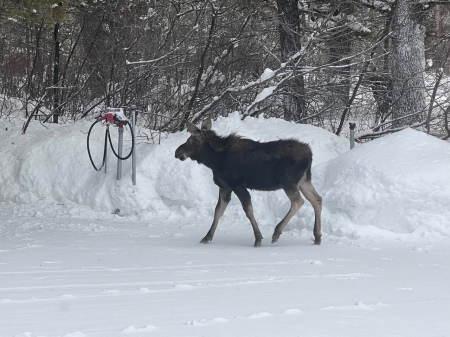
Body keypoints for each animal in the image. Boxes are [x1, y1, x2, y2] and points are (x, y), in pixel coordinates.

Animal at [174, 118, 322, 247]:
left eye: (189, 141)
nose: (177, 152)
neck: (214, 161)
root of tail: (310, 155)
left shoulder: (237, 185)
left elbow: (248, 210)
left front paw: (258, 238)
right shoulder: (225, 187)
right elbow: (218, 211)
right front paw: (206, 237)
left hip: (288, 181)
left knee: (299, 201)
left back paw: (277, 232)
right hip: (304, 180)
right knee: (317, 199)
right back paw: (317, 236)